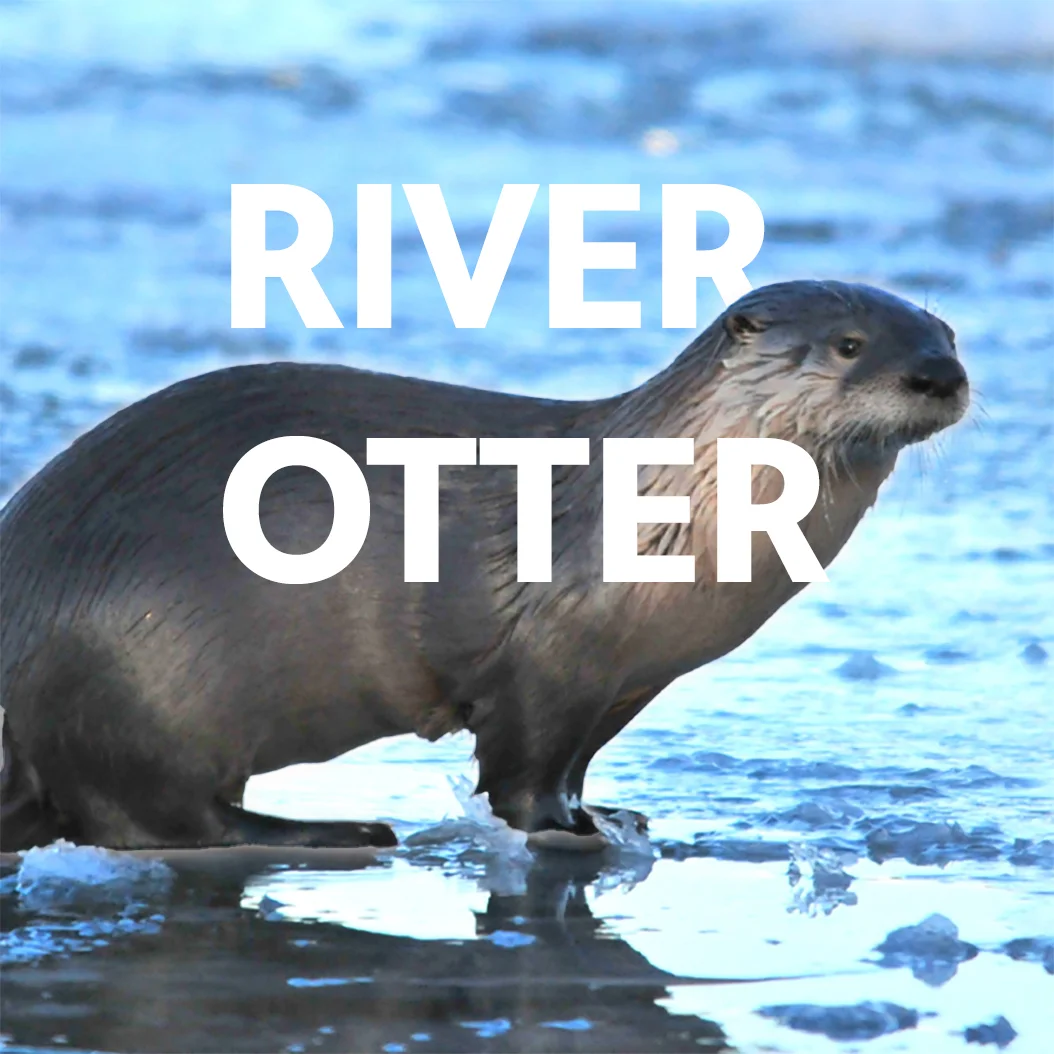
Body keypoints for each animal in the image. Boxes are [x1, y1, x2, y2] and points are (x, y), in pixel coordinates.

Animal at [2, 282, 969, 855]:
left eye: (947, 332)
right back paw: (337, 831)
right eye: (849, 345)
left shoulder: (627, 680)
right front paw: (567, 834)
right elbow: (521, 769)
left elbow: (578, 762)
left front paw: (608, 814)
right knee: (152, 816)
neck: (663, 508)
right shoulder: (547, 658)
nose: (939, 376)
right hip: (136, 675)